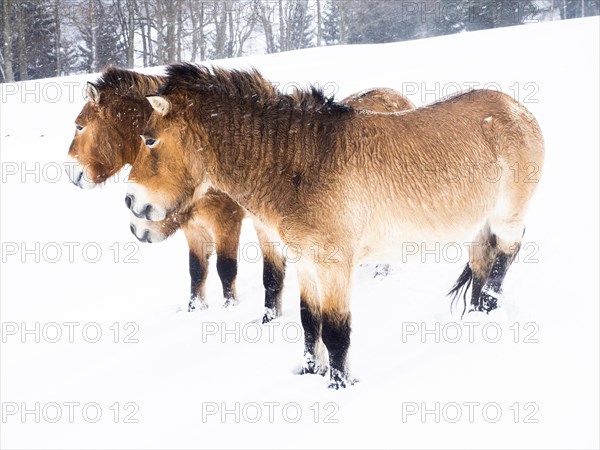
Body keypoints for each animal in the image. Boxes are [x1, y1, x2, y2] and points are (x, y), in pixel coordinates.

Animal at [126, 65, 544, 388]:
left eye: (150, 139)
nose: (131, 202)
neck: (302, 161)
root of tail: (516, 108)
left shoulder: (334, 265)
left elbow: (336, 332)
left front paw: (339, 386)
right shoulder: (305, 263)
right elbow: (310, 323)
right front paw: (311, 372)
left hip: (507, 219)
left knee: (504, 259)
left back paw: (488, 310)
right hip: (478, 225)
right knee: (481, 263)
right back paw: (474, 315)